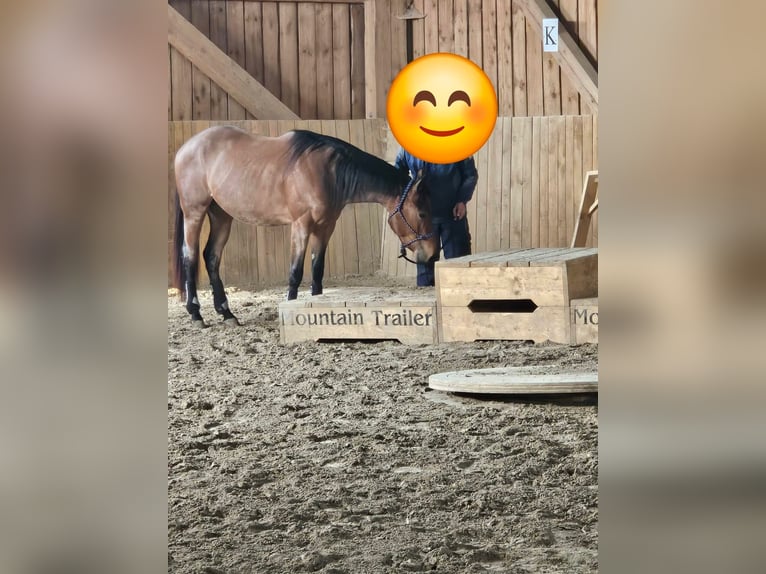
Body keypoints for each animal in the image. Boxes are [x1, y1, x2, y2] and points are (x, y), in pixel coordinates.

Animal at [171, 126, 439, 327]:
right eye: (422, 212)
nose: (434, 254)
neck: (328, 172)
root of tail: (186, 148)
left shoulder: (325, 227)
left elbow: (317, 270)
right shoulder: (301, 224)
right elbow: (295, 272)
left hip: (222, 216)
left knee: (211, 257)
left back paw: (226, 313)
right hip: (194, 213)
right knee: (190, 256)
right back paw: (196, 313)